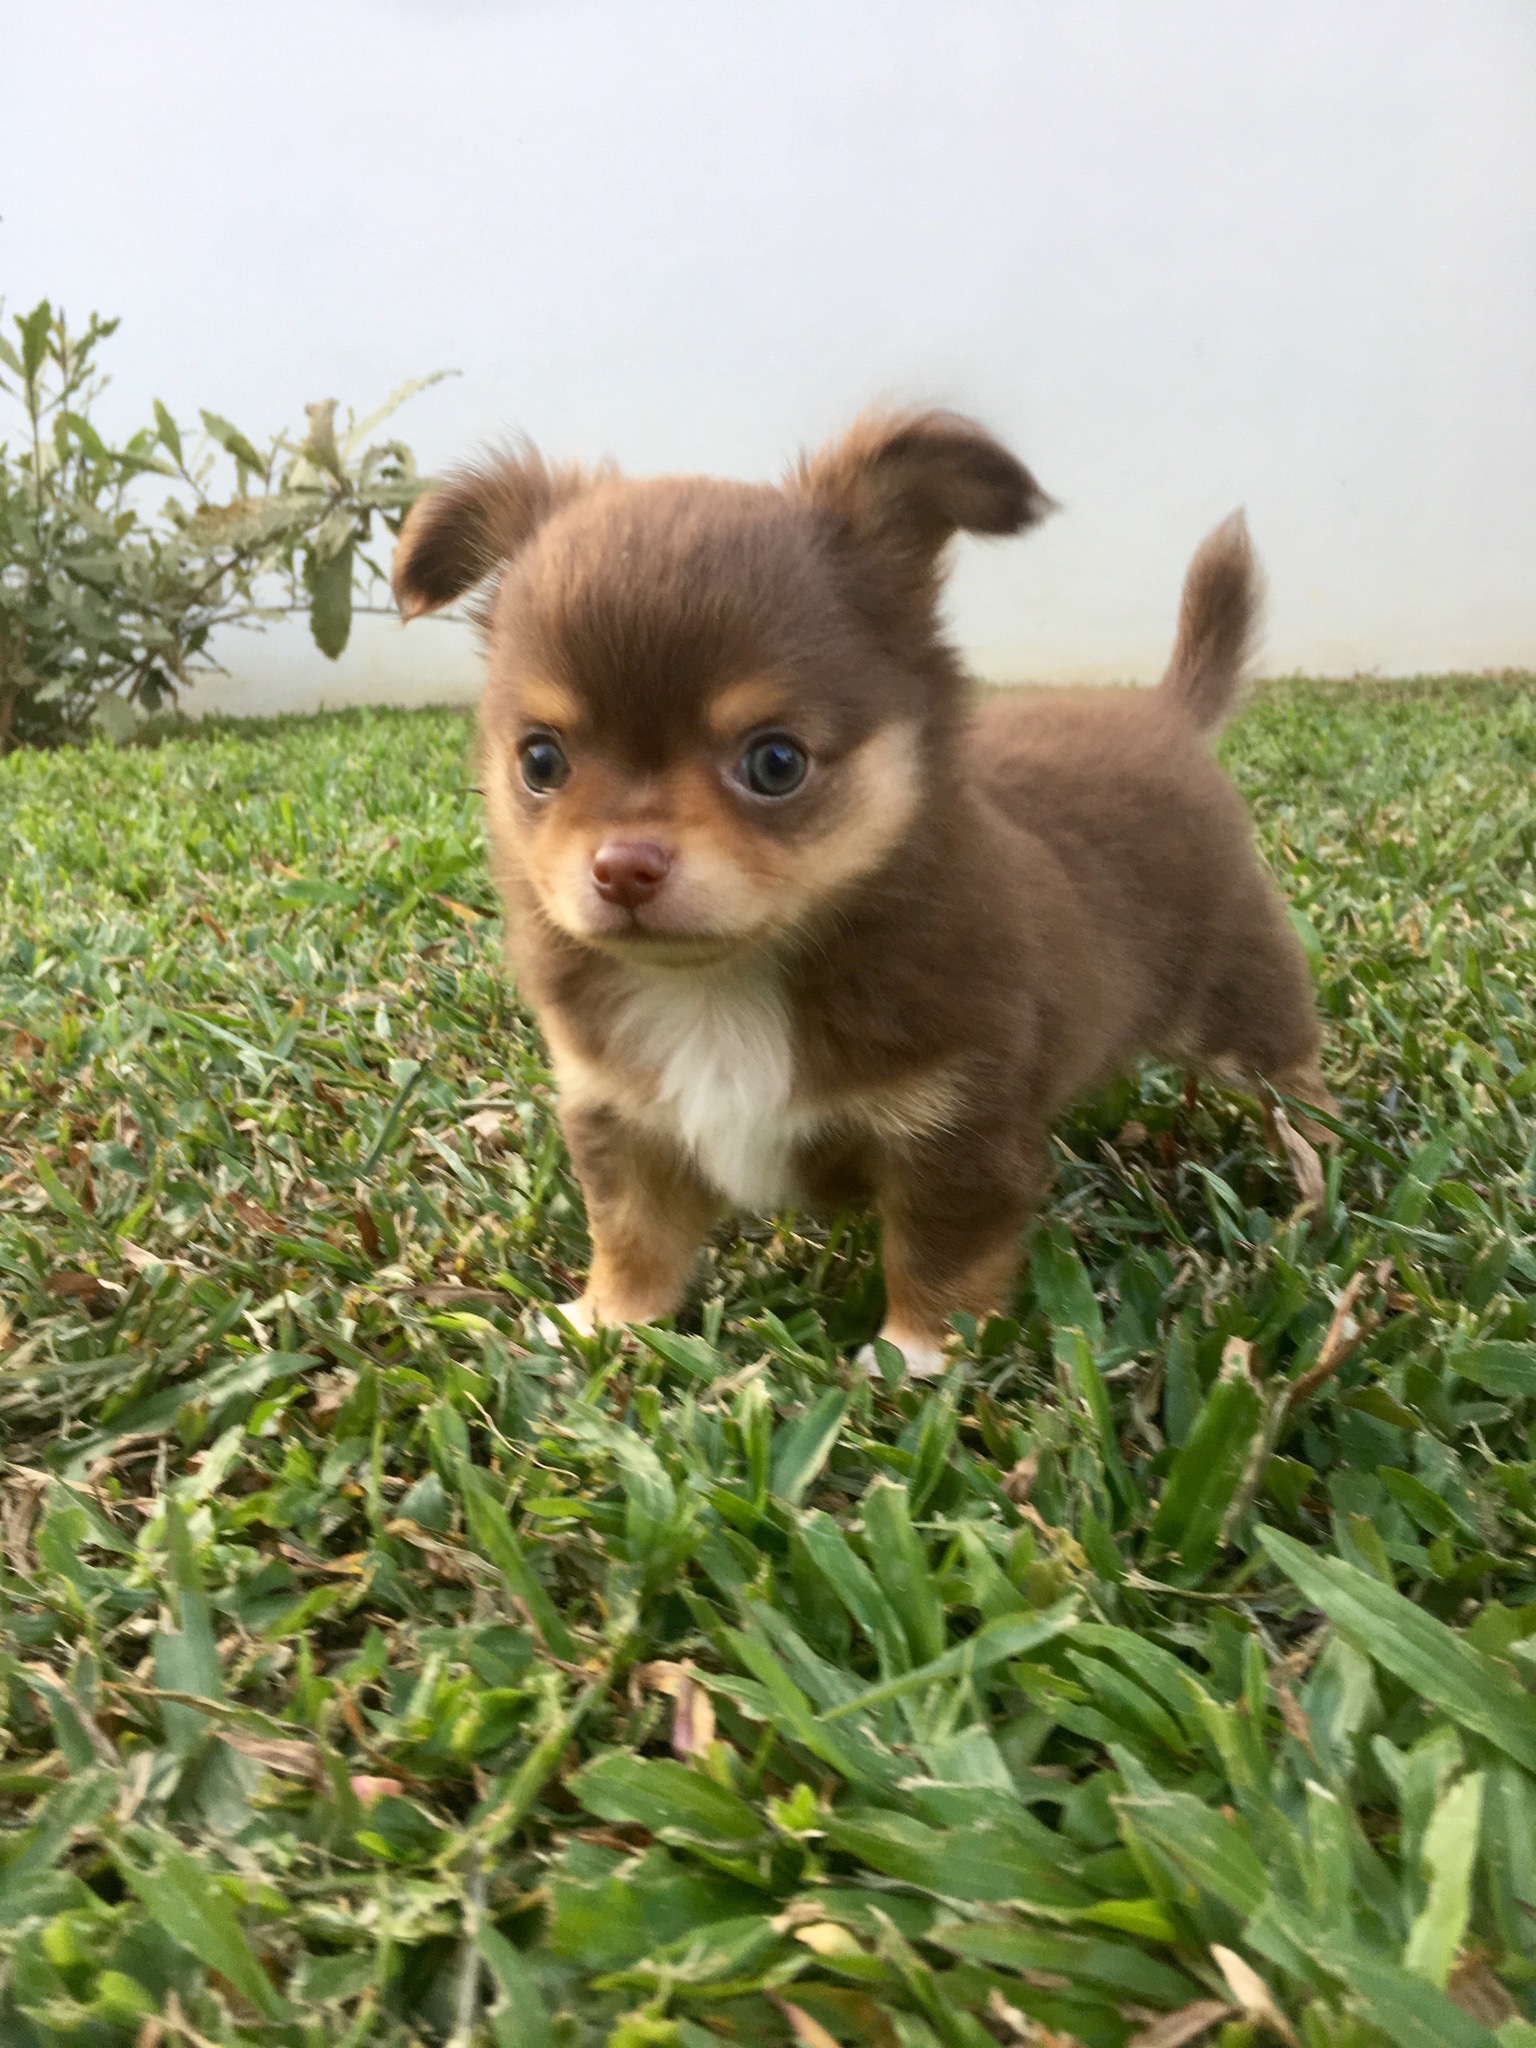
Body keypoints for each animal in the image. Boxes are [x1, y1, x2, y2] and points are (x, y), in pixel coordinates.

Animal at [392, 409, 1334, 1378]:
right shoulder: (624, 1117)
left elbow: (940, 1256)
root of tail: (1166, 713)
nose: (623, 866)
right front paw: (606, 1319)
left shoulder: (955, 1130)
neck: (721, 985)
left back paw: (1317, 1174)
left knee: (1298, 1081)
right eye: (542, 761)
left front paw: (912, 1362)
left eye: (775, 763)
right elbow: (632, 1232)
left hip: (1240, 1001)